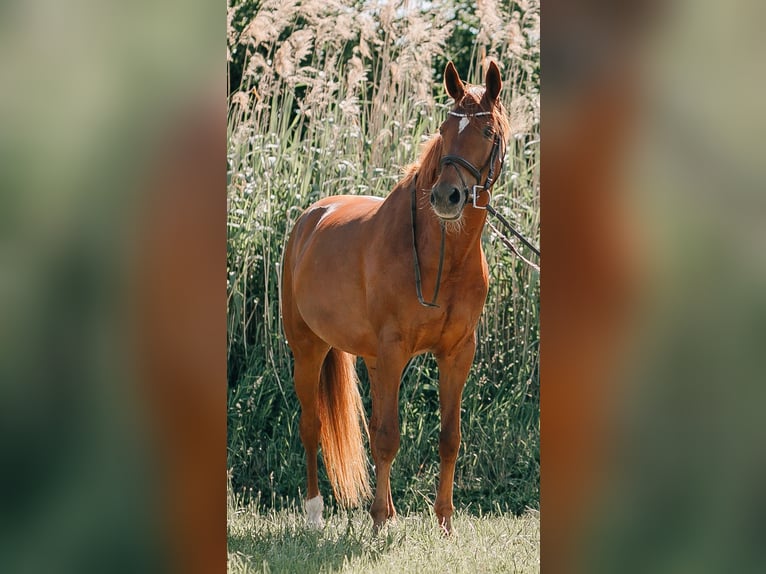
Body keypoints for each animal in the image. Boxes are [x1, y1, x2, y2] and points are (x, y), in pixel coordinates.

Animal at [282, 62, 510, 536]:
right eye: (443, 130)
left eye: (486, 132)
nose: (446, 196)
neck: (439, 256)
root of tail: (310, 218)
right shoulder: (393, 349)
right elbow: (388, 438)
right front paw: (378, 522)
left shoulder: (457, 353)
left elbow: (448, 438)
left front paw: (444, 522)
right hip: (309, 350)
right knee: (312, 425)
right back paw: (314, 513)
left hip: (371, 359)